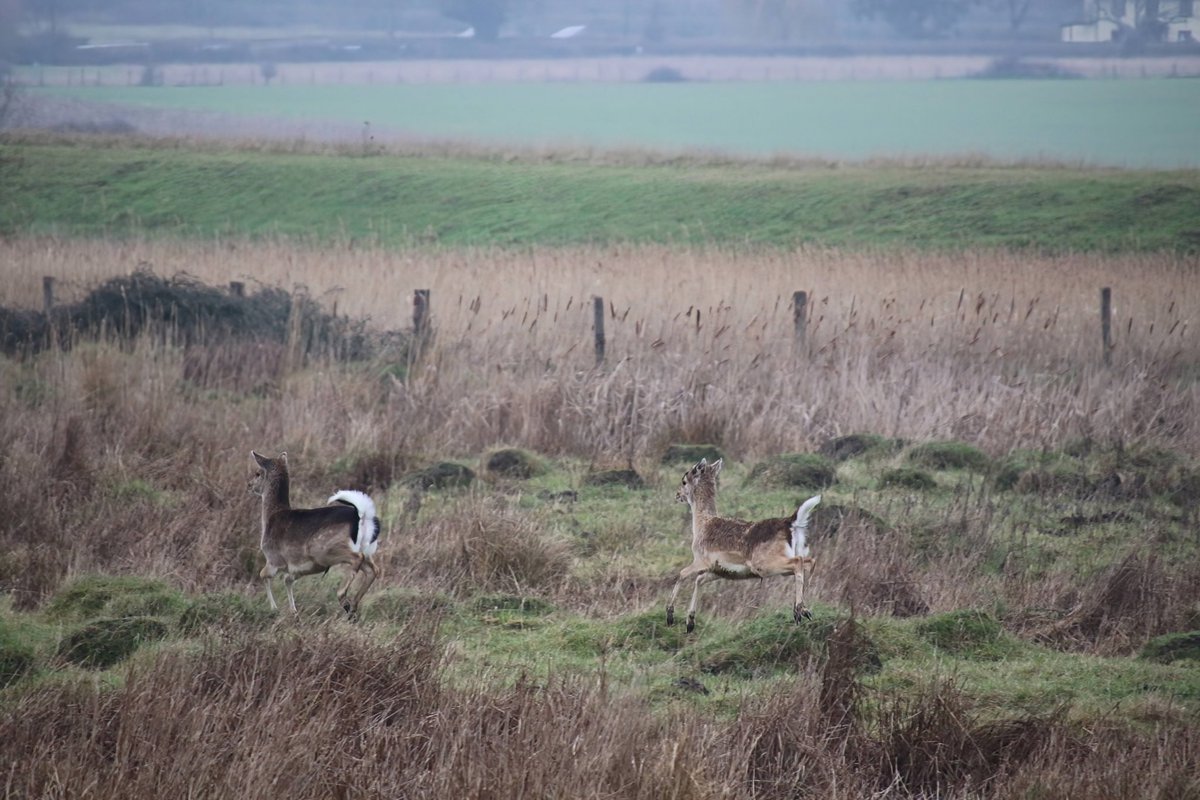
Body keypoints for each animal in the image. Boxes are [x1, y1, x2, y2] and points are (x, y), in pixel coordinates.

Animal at [249, 451, 381, 616]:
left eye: (258, 473)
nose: (249, 485)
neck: (270, 518)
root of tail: (362, 515)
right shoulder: (294, 569)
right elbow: (287, 580)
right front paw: (293, 611)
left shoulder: (274, 559)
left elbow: (263, 575)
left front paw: (274, 608)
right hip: (366, 550)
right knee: (373, 569)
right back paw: (353, 606)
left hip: (323, 550)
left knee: (357, 558)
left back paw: (343, 598)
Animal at [667, 458, 820, 633]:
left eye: (684, 481)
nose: (677, 495)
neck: (701, 525)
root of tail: (790, 523)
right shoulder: (719, 570)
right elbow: (699, 580)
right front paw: (690, 622)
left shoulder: (702, 560)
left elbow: (682, 574)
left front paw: (670, 616)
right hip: (789, 556)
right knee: (809, 561)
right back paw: (805, 609)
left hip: (764, 564)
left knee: (799, 562)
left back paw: (799, 610)